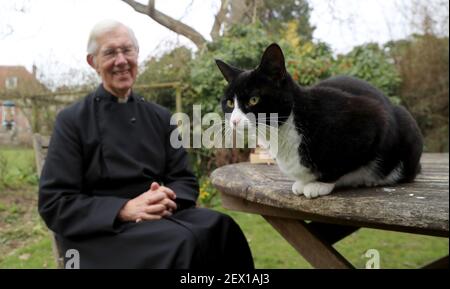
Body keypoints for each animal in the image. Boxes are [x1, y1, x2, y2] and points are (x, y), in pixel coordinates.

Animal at [216, 43, 424, 198]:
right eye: (229, 102)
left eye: (253, 99)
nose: (234, 121)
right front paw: (303, 182)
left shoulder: (372, 119)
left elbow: (341, 163)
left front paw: (319, 184)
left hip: (405, 123)